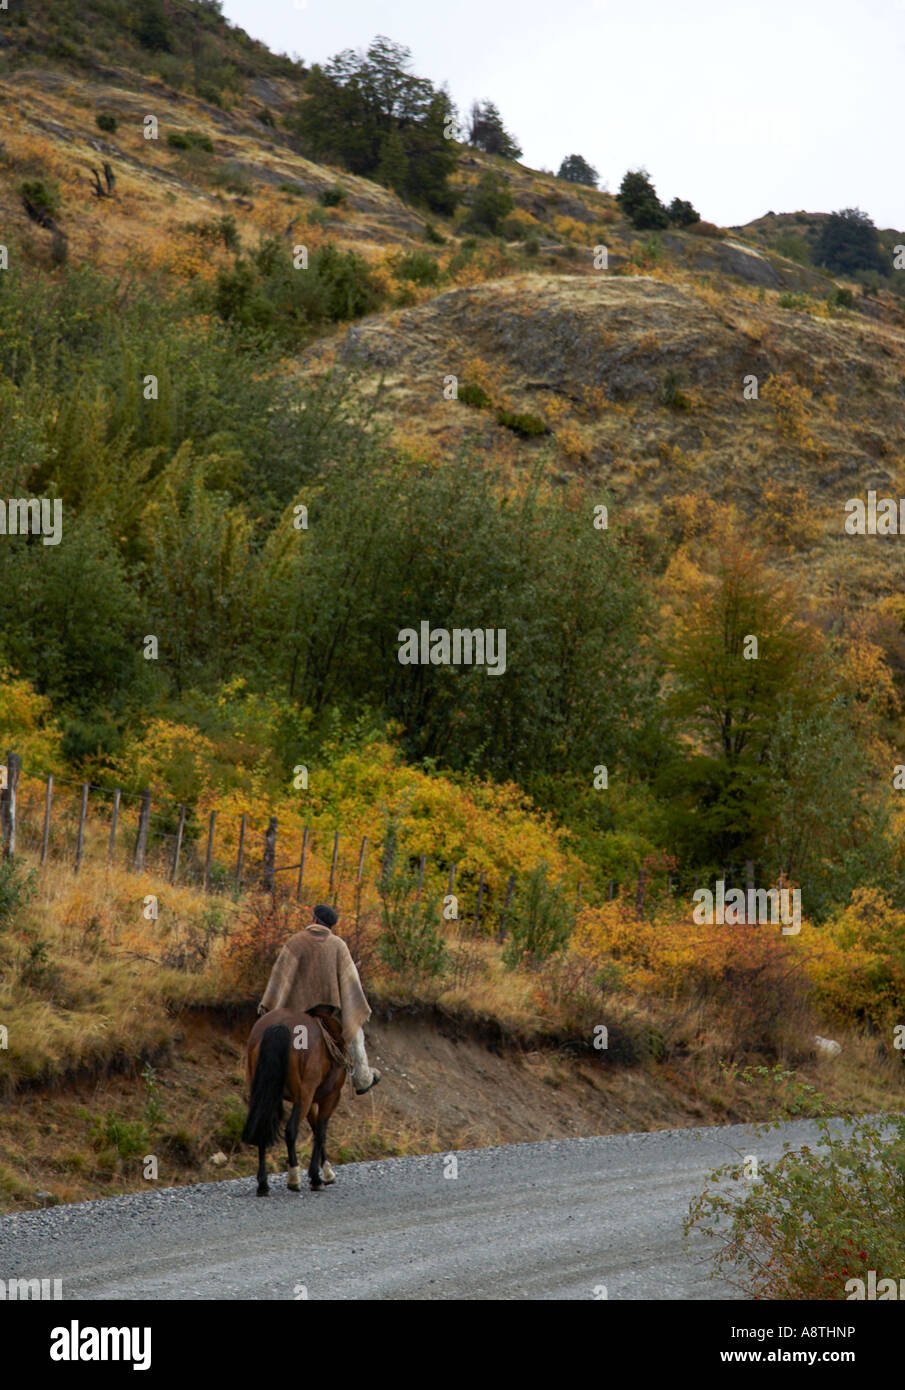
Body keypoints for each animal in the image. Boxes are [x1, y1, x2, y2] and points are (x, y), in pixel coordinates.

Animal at [241, 1011, 348, 1195]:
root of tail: (279, 1025)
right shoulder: (330, 1097)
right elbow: (320, 1132)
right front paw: (318, 1177)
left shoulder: (312, 1101)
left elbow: (316, 1129)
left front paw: (326, 1172)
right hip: (303, 1095)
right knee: (291, 1130)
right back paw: (294, 1178)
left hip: (261, 1092)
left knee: (262, 1127)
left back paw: (263, 1185)